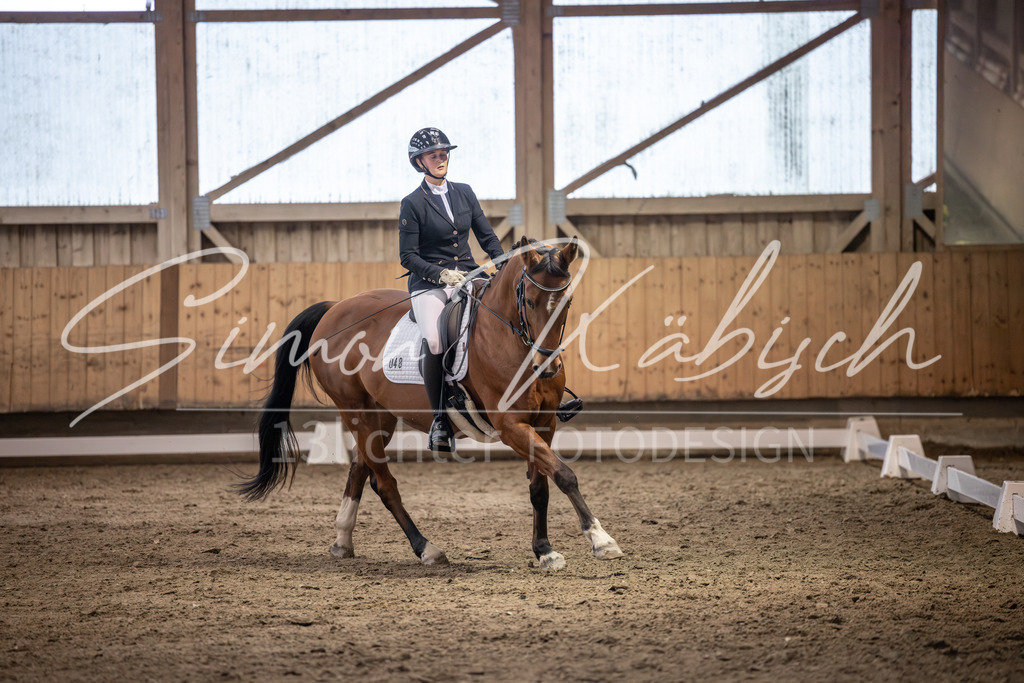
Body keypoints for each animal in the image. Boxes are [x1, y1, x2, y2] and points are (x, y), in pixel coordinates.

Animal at [237, 236, 623, 570]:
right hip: (355, 410)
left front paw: (544, 550)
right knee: (384, 483)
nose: (547, 366)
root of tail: (335, 309)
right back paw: (426, 549)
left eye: (567, 303)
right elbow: (564, 474)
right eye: (528, 301)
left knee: (360, 468)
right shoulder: (511, 425)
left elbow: (541, 484)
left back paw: (342, 540)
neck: (509, 337)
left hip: (380, 416)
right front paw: (601, 539)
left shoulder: (544, 422)